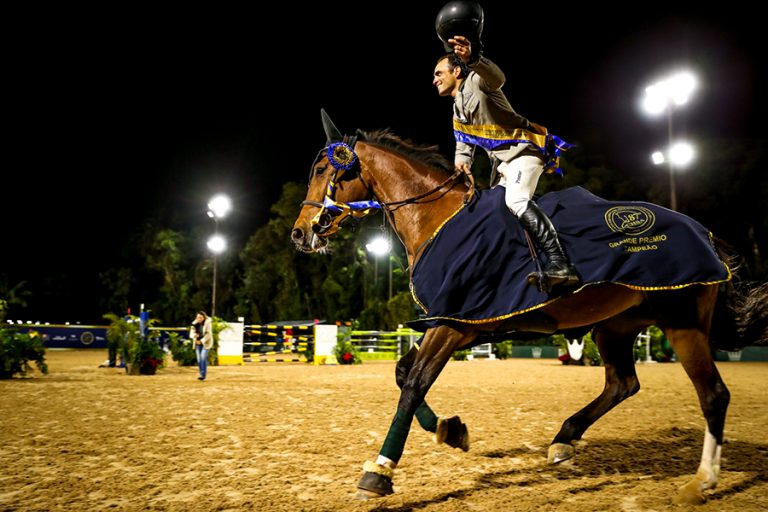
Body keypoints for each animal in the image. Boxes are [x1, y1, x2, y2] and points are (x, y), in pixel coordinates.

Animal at [290, 111, 768, 504]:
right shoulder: (458, 323)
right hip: (614, 326)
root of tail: (703, 232)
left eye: (321, 169)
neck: (437, 219)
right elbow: (404, 373)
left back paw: (702, 481)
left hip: (681, 323)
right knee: (622, 384)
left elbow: (414, 384)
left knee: (713, 395)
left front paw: (380, 471)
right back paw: (564, 439)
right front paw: (451, 430)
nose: (300, 233)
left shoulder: (453, 325)